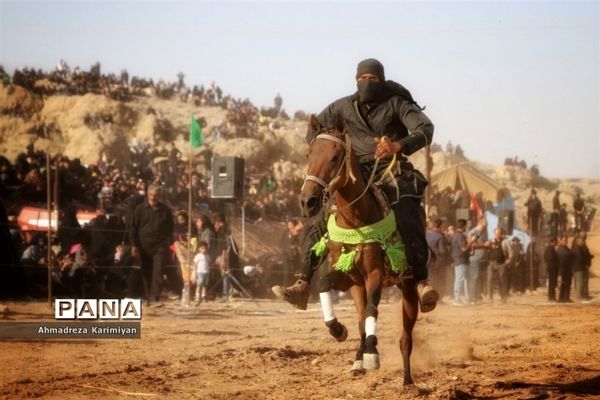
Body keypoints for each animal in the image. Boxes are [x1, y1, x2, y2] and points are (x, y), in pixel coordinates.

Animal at [298, 115, 420, 384]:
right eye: (309, 154)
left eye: (335, 157)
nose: (308, 201)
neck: (355, 220)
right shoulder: (348, 275)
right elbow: (324, 284)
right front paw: (338, 330)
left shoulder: (374, 273)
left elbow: (373, 309)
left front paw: (372, 354)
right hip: (359, 287)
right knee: (362, 318)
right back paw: (358, 358)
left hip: (408, 286)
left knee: (406, 336)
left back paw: (407, 380)